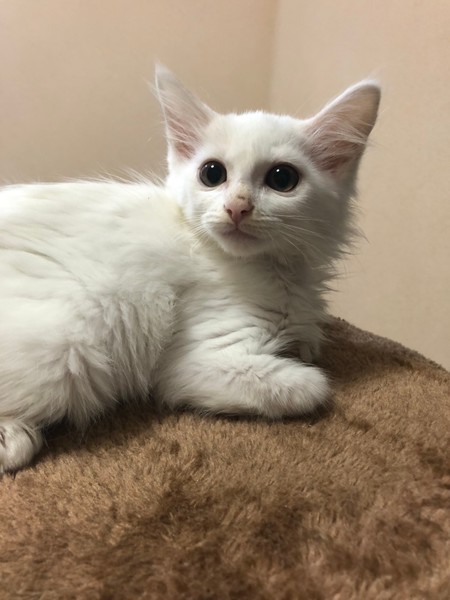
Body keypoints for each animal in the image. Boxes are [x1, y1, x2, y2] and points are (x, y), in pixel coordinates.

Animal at [0, 66, 380, 473]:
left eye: (282, 179)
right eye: (212, 174)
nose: (237, 207)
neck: (278, 270)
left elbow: (309, 336)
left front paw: (304, 341)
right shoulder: (199, 359)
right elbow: (313, 386)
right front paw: (309, 376)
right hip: (70, 347)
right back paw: (13, 439)